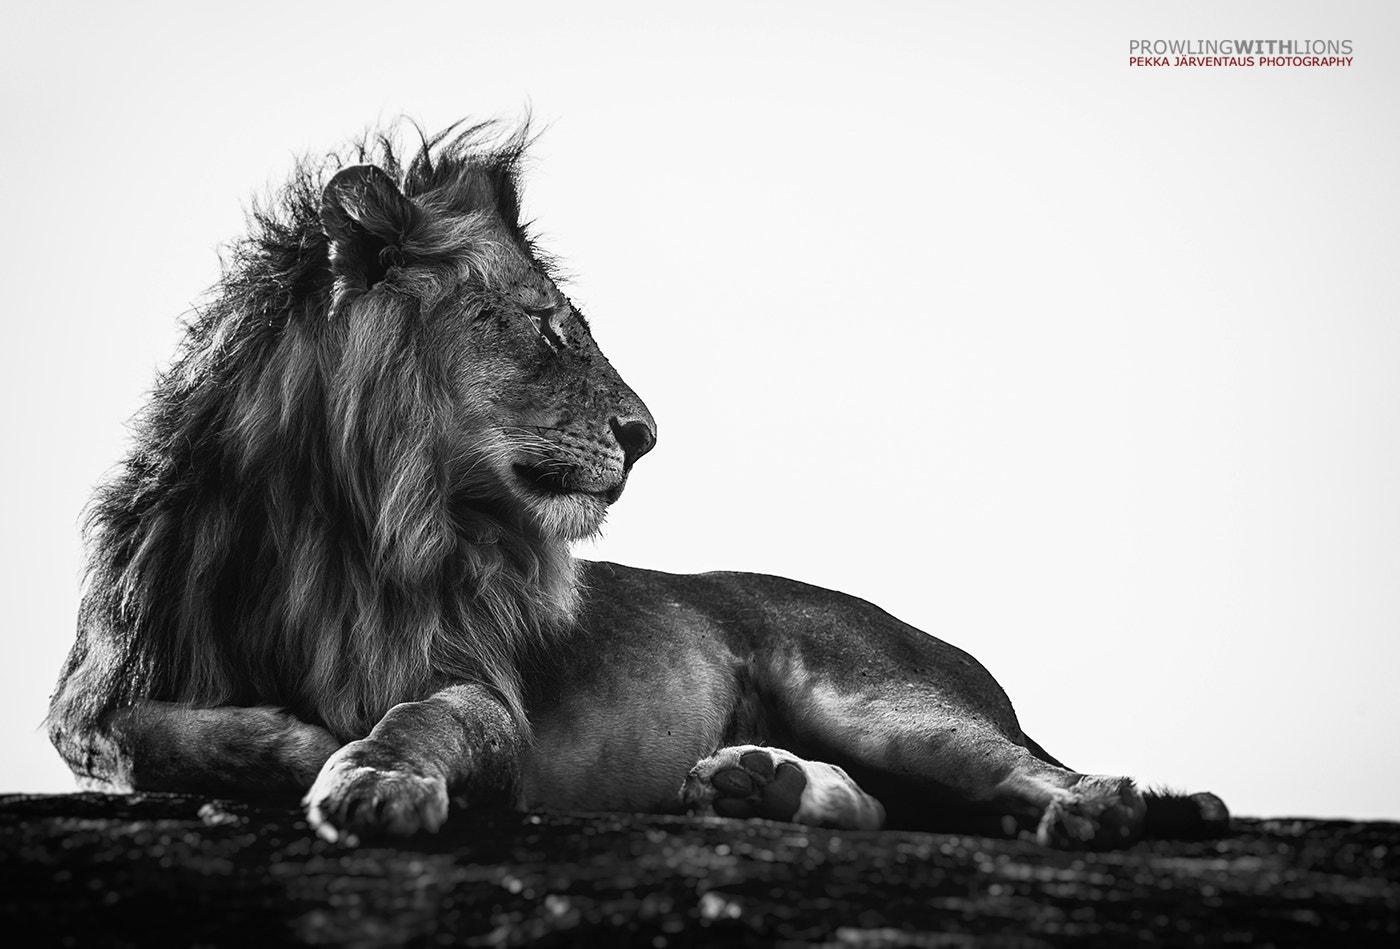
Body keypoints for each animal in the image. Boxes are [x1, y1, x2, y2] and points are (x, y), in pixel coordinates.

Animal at [48, 123, 1228, 848]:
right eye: (549, 328)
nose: (648, 435)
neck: (336, 524)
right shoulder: (93, 690)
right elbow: (126, 735)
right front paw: (283, 738)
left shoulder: (482, 695)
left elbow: (415, 719)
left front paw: (363, 771)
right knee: (883, 806)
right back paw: (760, 784)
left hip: (883, 699)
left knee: (1029, 773)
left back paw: (1096, 811)